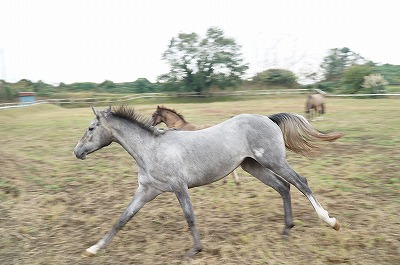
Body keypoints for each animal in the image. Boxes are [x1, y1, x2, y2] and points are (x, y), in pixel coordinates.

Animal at [73, 105, 342, 256]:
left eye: (90, 128)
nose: (77, 152)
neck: (151, 149)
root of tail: (267, 118)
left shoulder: (179, 187)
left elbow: (190, 217)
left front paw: (195, 250)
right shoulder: (147, 190)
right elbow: (122, 219)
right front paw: (94, 249)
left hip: (273, 160)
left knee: (300, 182)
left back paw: (330, 221)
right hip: (253, 166)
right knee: (283, 187)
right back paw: (286, 230)